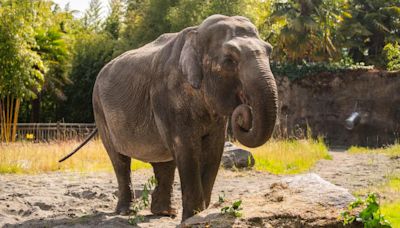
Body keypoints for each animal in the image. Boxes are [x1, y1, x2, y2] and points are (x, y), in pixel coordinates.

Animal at [91, 14, 278, 221]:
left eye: (269, 52)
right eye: (229, 60)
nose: (244, 112)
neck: (196, 33)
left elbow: (214, 150)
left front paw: (200, 215)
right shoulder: (167, 96)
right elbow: (187, 149)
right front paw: (191, 218)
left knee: (164, 162)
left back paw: (164, 212)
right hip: (99, 111)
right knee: (120, 160)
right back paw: (127, 211)